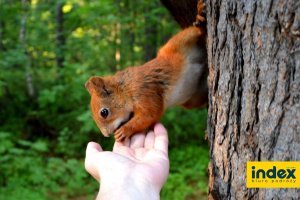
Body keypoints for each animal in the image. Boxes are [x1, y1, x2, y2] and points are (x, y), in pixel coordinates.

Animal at [84, 0, 206, 142]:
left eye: (104, 112)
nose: (107, 135)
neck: (126, 88)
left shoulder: (144, 91)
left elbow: (150, 114)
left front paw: (125, 130)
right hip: (193, 99)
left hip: (180, 41)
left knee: (197, 31)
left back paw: (200, 17)